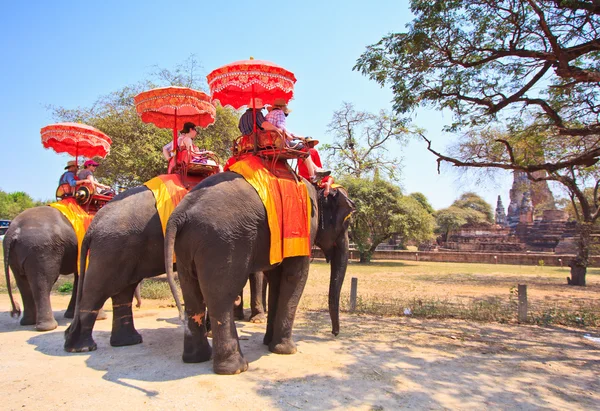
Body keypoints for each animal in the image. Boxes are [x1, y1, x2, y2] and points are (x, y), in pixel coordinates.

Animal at [162, 172, 354, 374]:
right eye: (347, 222)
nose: (334, 333)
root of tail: (180, 214)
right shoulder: (302, 228)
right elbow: (295, 276)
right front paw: (287, 350)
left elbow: (277, 279)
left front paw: (268, 343)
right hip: (223, 243)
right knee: (221, 298)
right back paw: (236, 368)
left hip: (185, 247)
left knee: (192, 295)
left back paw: (196, 358)